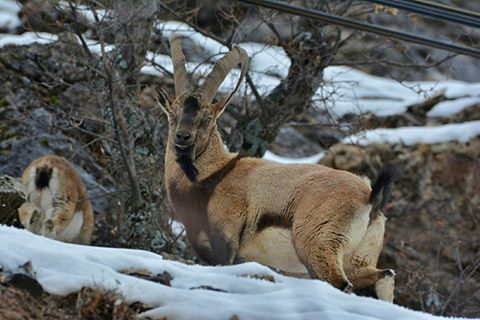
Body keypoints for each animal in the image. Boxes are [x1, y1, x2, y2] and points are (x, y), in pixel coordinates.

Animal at [161, 35, 398, 302]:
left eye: (207, 118)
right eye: (173, 113)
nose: (183, 137)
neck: (213, 176)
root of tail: (370, 197)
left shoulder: (225, 243)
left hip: (318, 247)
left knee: (340, 283)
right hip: (358, 260)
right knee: (384, 276)